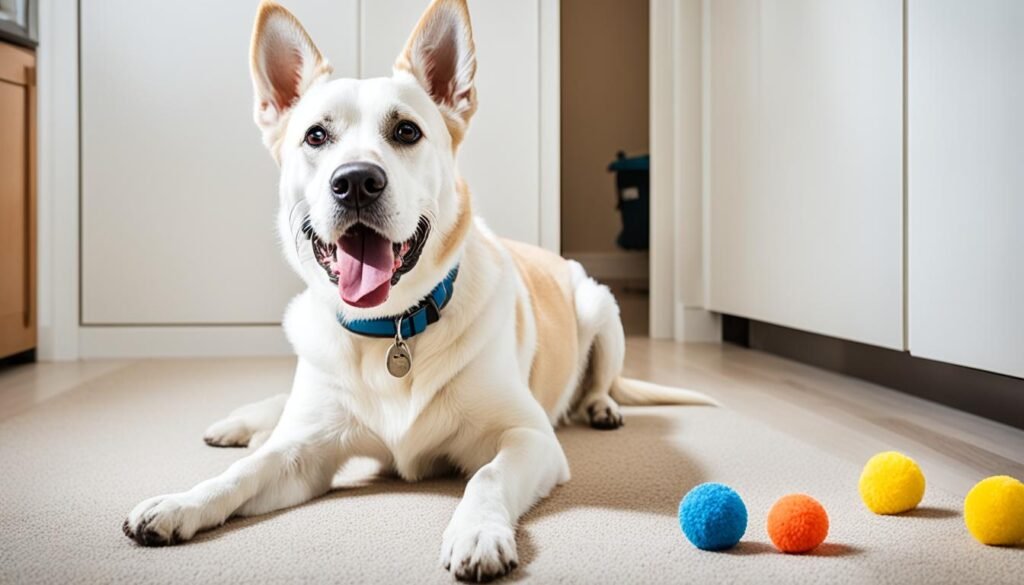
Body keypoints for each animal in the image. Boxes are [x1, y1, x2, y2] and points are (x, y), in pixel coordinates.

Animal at [121, 1, 712, 581]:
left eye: (406, 131)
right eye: (316, 136)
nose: (356, 182)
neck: (393, 329)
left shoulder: (530, 437)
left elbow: (488, 475)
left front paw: (478, 532)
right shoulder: (304, 456)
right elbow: (246, 469)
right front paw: (179, 503)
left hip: (599, 305)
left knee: (600, 383)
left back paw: (600, 408)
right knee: (278, 413)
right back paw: (241, 424)